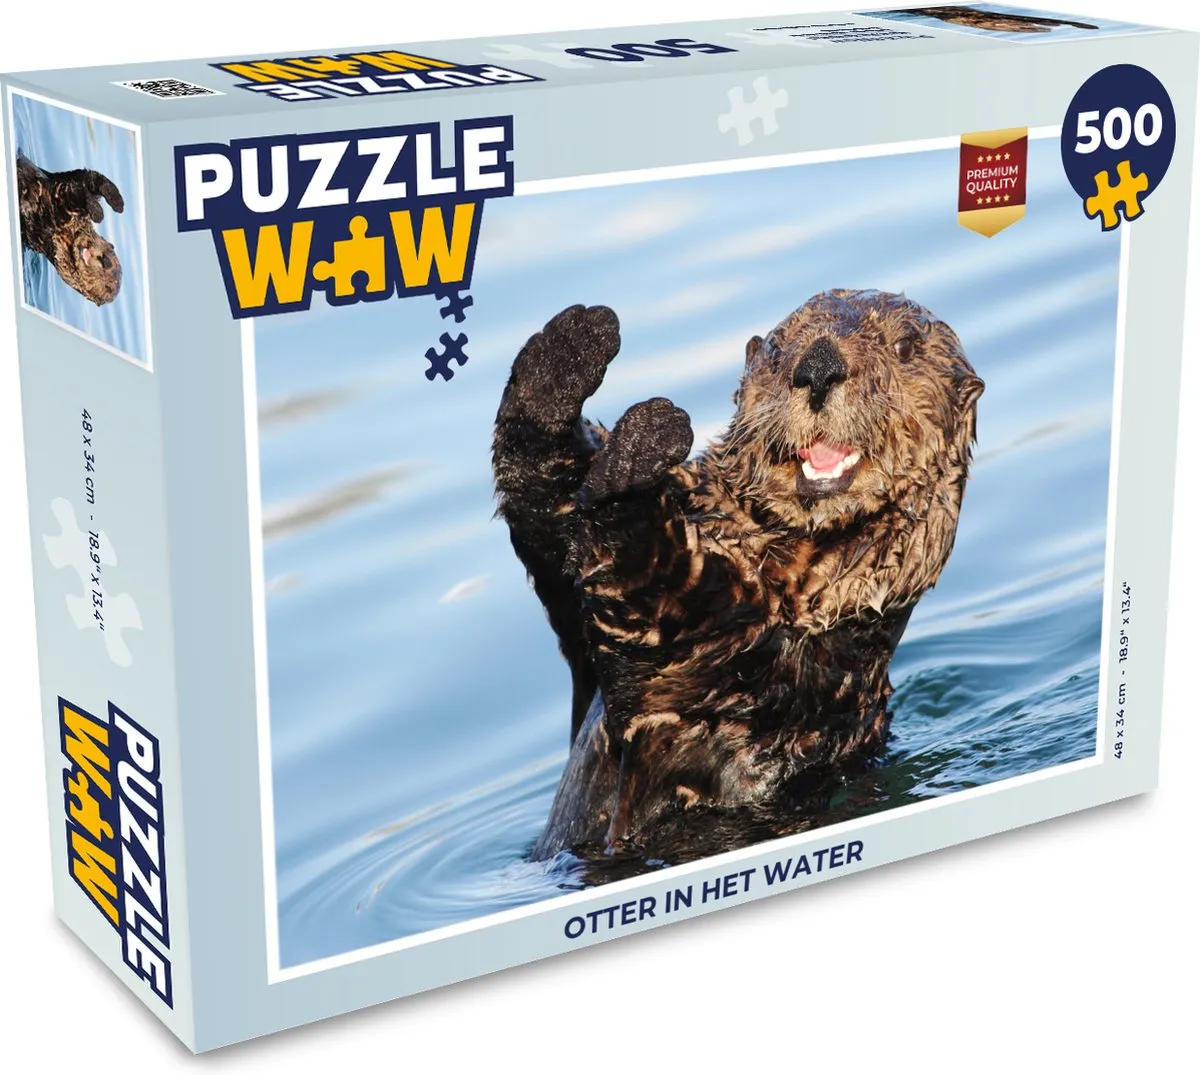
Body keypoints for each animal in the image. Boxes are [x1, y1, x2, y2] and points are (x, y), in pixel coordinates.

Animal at [17, 153, 124, 306]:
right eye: (110, 253)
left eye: (107, 287)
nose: (105, 261)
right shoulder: (64, 188)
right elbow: (88, 179)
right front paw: (113, 204)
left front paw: (97, 209)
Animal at [492, 291, 982, 861]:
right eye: (776, 351)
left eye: (903, 347)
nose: (818, 366)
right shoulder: (579, 638)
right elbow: (546, 516)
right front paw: (569, 350)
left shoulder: (727, 658)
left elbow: (647, 581)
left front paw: (639, 453)